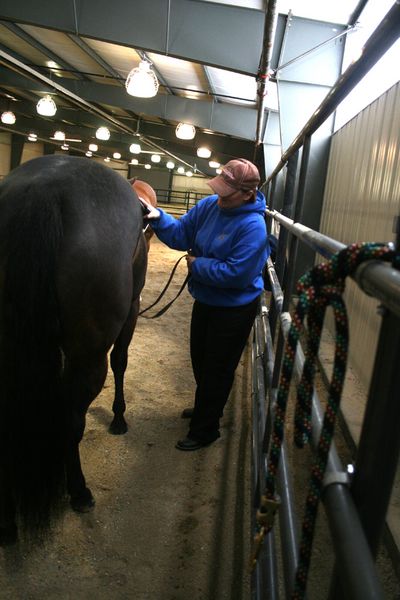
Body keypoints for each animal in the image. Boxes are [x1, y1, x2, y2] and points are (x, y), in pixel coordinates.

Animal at [0, 155, 148, 544]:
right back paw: (79, 491)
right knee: (71, 419)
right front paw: (118, 418)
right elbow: (121, 361)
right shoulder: (132, 309)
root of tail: (42, 189)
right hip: (88, 358)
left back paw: (6, 523)